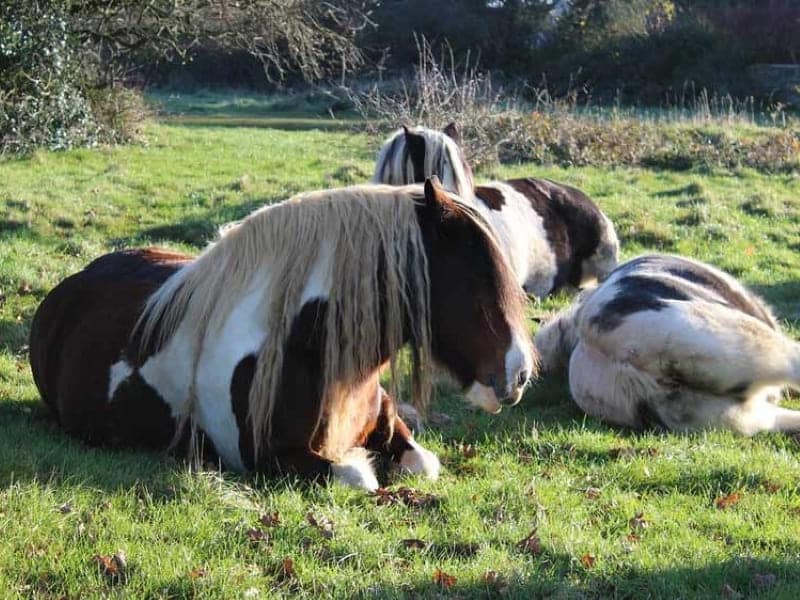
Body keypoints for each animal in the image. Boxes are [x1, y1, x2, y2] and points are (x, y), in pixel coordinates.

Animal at [28, 178, 536, 488]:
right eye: (475, 277)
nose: (519, 374)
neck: (308, 347)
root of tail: (71, 286)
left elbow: (422, 463)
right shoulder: (273, 459)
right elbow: (360, 475)